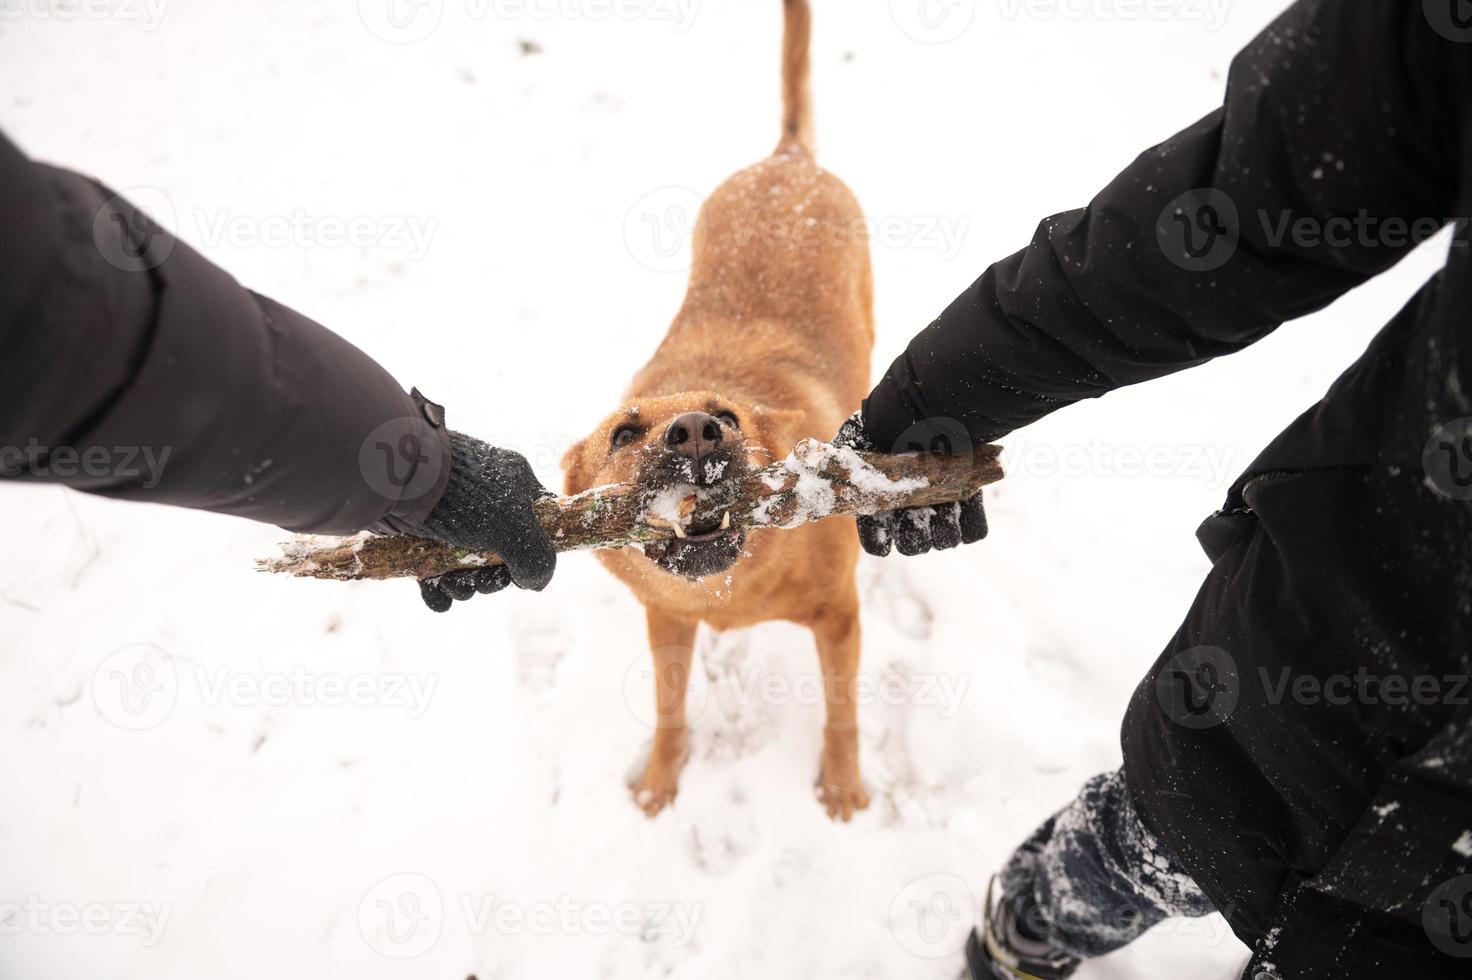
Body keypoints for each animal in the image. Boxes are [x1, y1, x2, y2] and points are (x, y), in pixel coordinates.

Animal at [556, 0, 865, 818]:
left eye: (725, 417)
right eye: (624, 433)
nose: (694, 432)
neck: (734, 588)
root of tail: (785, 160)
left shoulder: (840, 619)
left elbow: (843, 713)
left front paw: (843, 790)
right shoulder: (666, 619)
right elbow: (668, 710)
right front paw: (660, 785)